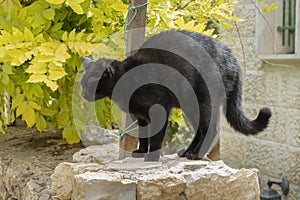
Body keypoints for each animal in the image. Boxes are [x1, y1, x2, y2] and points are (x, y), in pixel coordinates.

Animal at [79, 30, 272, 161]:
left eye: (91, 83)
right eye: (82, 83)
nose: (83, 94)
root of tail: (233, 60)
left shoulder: (159, 111)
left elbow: (156, 138)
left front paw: (151, 158)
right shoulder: (140, 117)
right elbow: (143, 136)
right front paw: (141, 152)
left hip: (202, 102)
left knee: (211, 128)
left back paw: (197, 154)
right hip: (190, 105)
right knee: (200, 129)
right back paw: (187, 152)